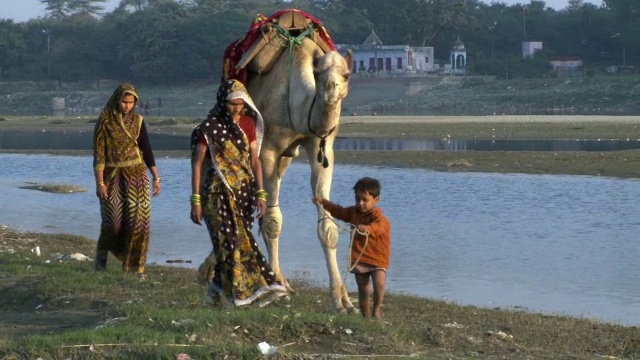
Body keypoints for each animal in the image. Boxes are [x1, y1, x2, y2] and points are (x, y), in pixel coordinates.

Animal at [245, 33, 356, 310]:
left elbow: (328, 227)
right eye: (317, 73)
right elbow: (273, 221)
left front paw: (342, 300)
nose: (330, 89)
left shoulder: (321, 145)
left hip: (286, 159)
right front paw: (275, 291)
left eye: (346, 73)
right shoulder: (267, 150)